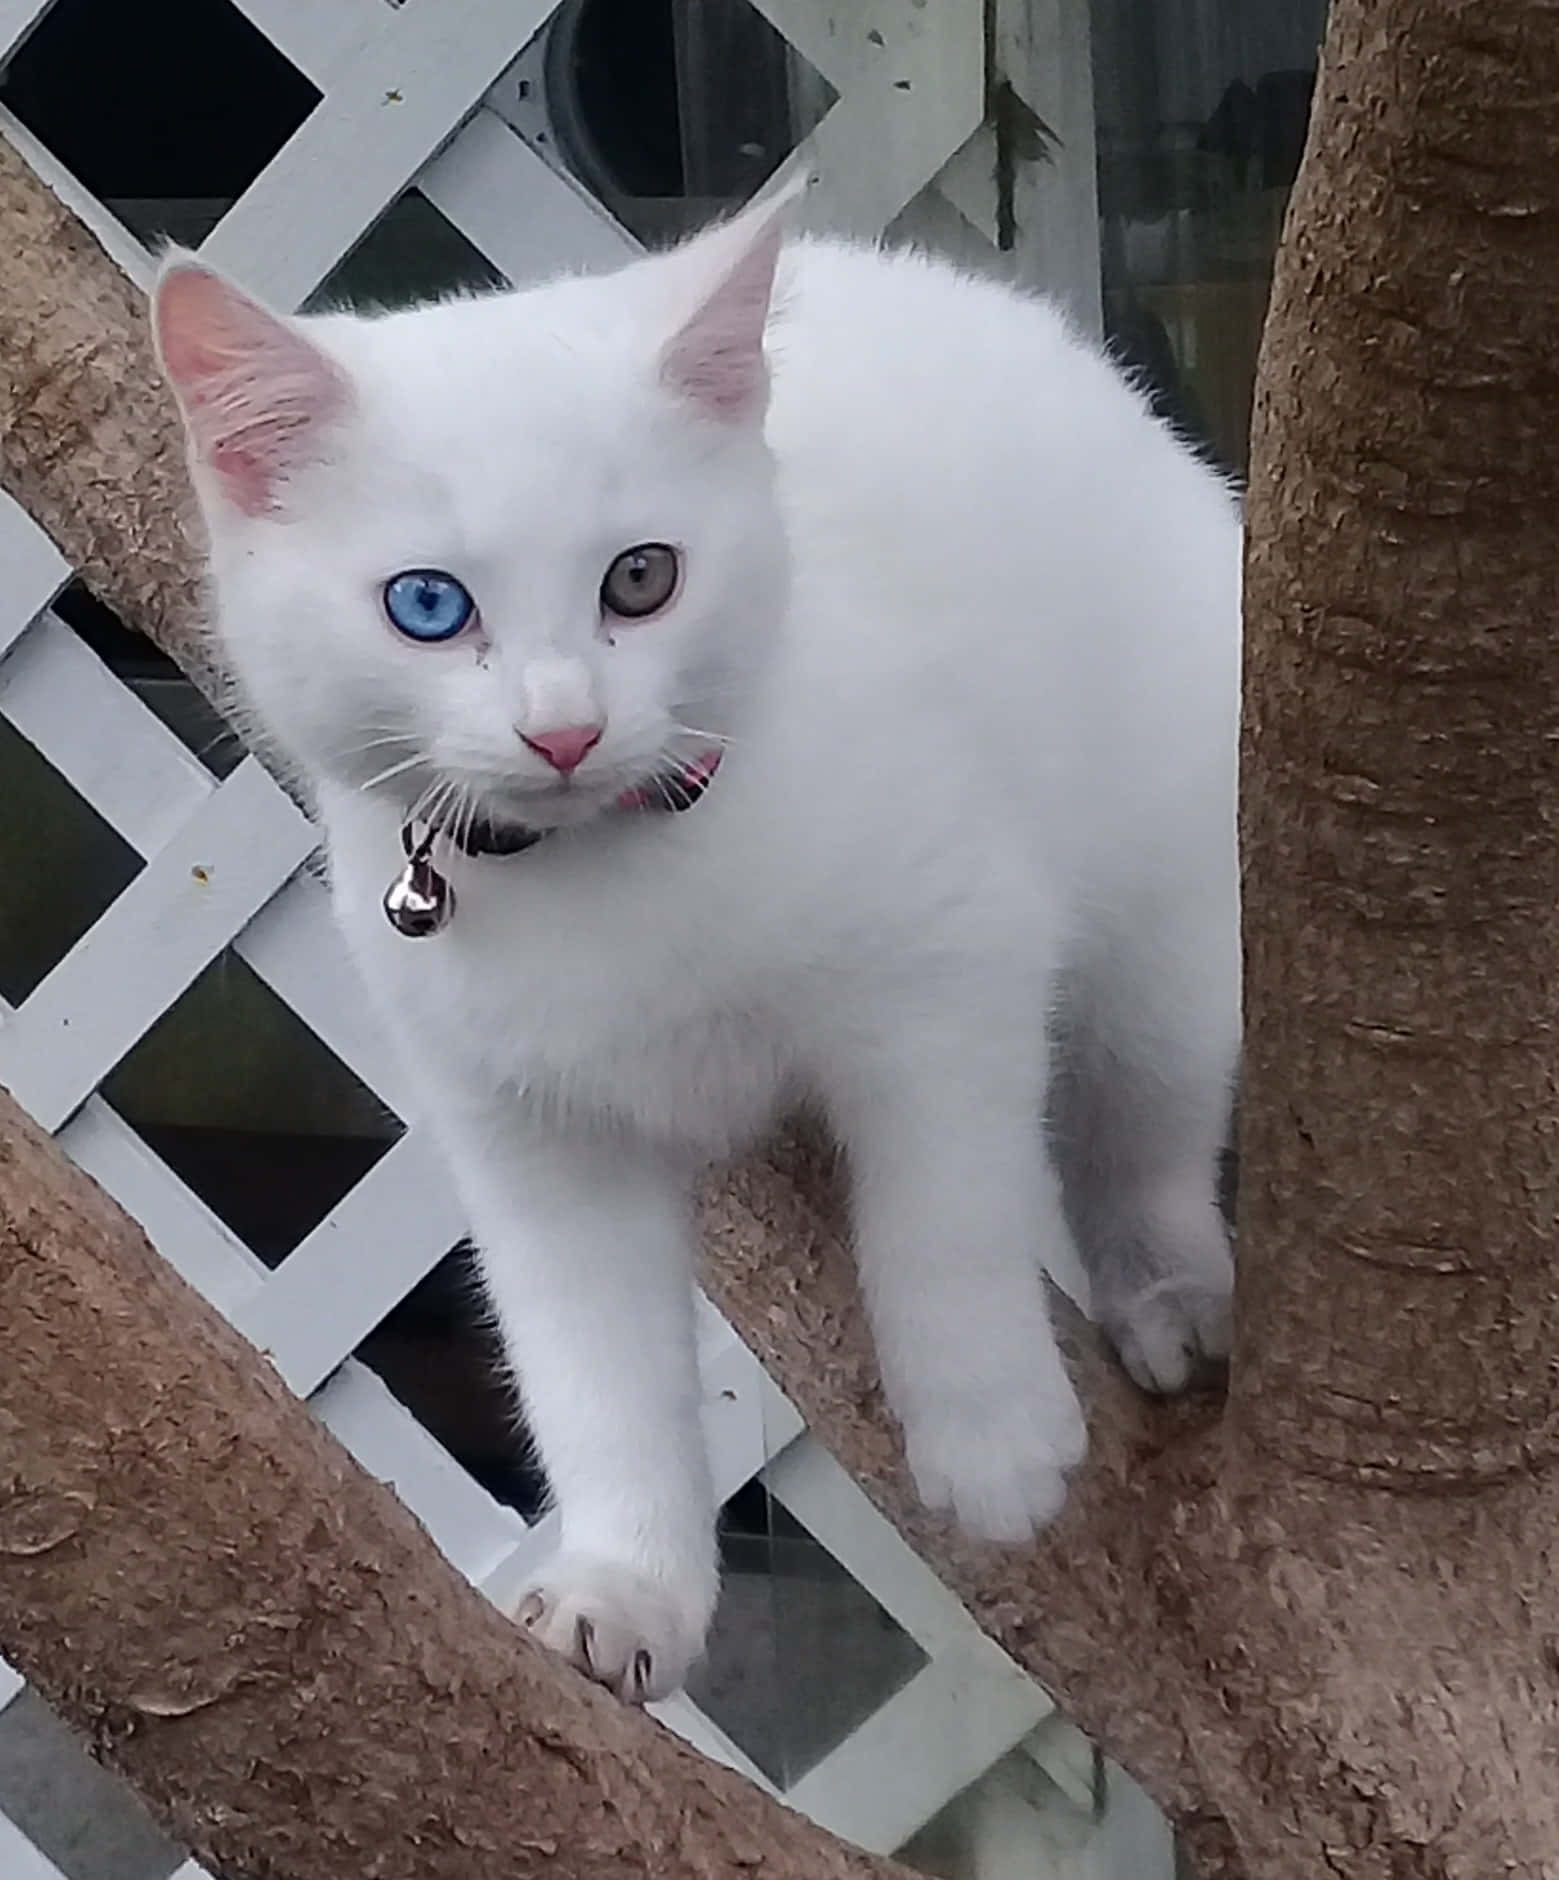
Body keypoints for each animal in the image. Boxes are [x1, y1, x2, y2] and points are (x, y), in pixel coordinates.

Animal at [155, 187, 1241, 1707]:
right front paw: (626, 1587)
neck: (599, 878)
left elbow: (945, 1219)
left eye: (641, 578)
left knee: (1140, 1124)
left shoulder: (948, 964)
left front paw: (991, 1438)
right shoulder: (525, 1134)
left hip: (1164, 915)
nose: (562, 727)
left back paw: (1164, 1294)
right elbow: (588, 1366)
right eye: (427, 605)